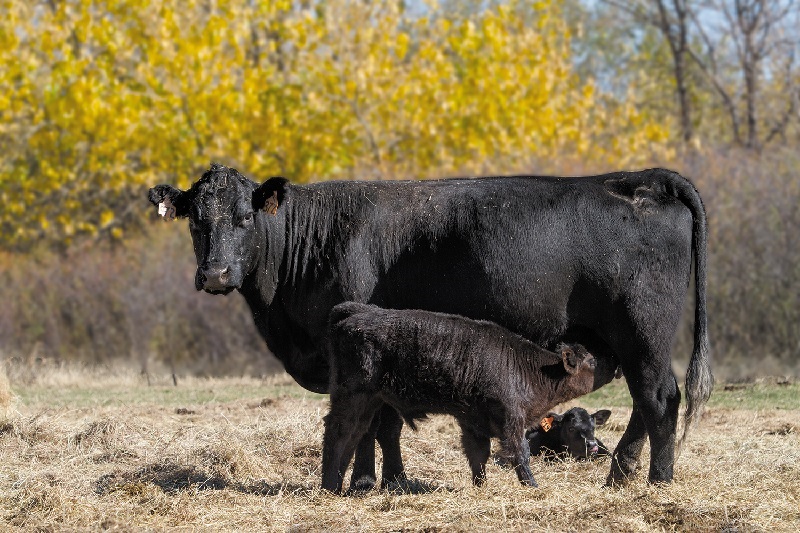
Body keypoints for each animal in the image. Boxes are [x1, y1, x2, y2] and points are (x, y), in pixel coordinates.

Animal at [322, 302, 596, 492]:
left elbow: (478, 455)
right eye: (592, 362)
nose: (601, 370)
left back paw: (337, 485)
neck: (531, 368)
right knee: (339, 432)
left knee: (355, 433)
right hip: (354, 395)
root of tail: (357, 312)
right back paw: (329, 486)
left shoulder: (473, 422)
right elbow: (520, 453)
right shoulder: (512, 422)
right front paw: (532, 485)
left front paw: (480, 486)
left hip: (369, 400)